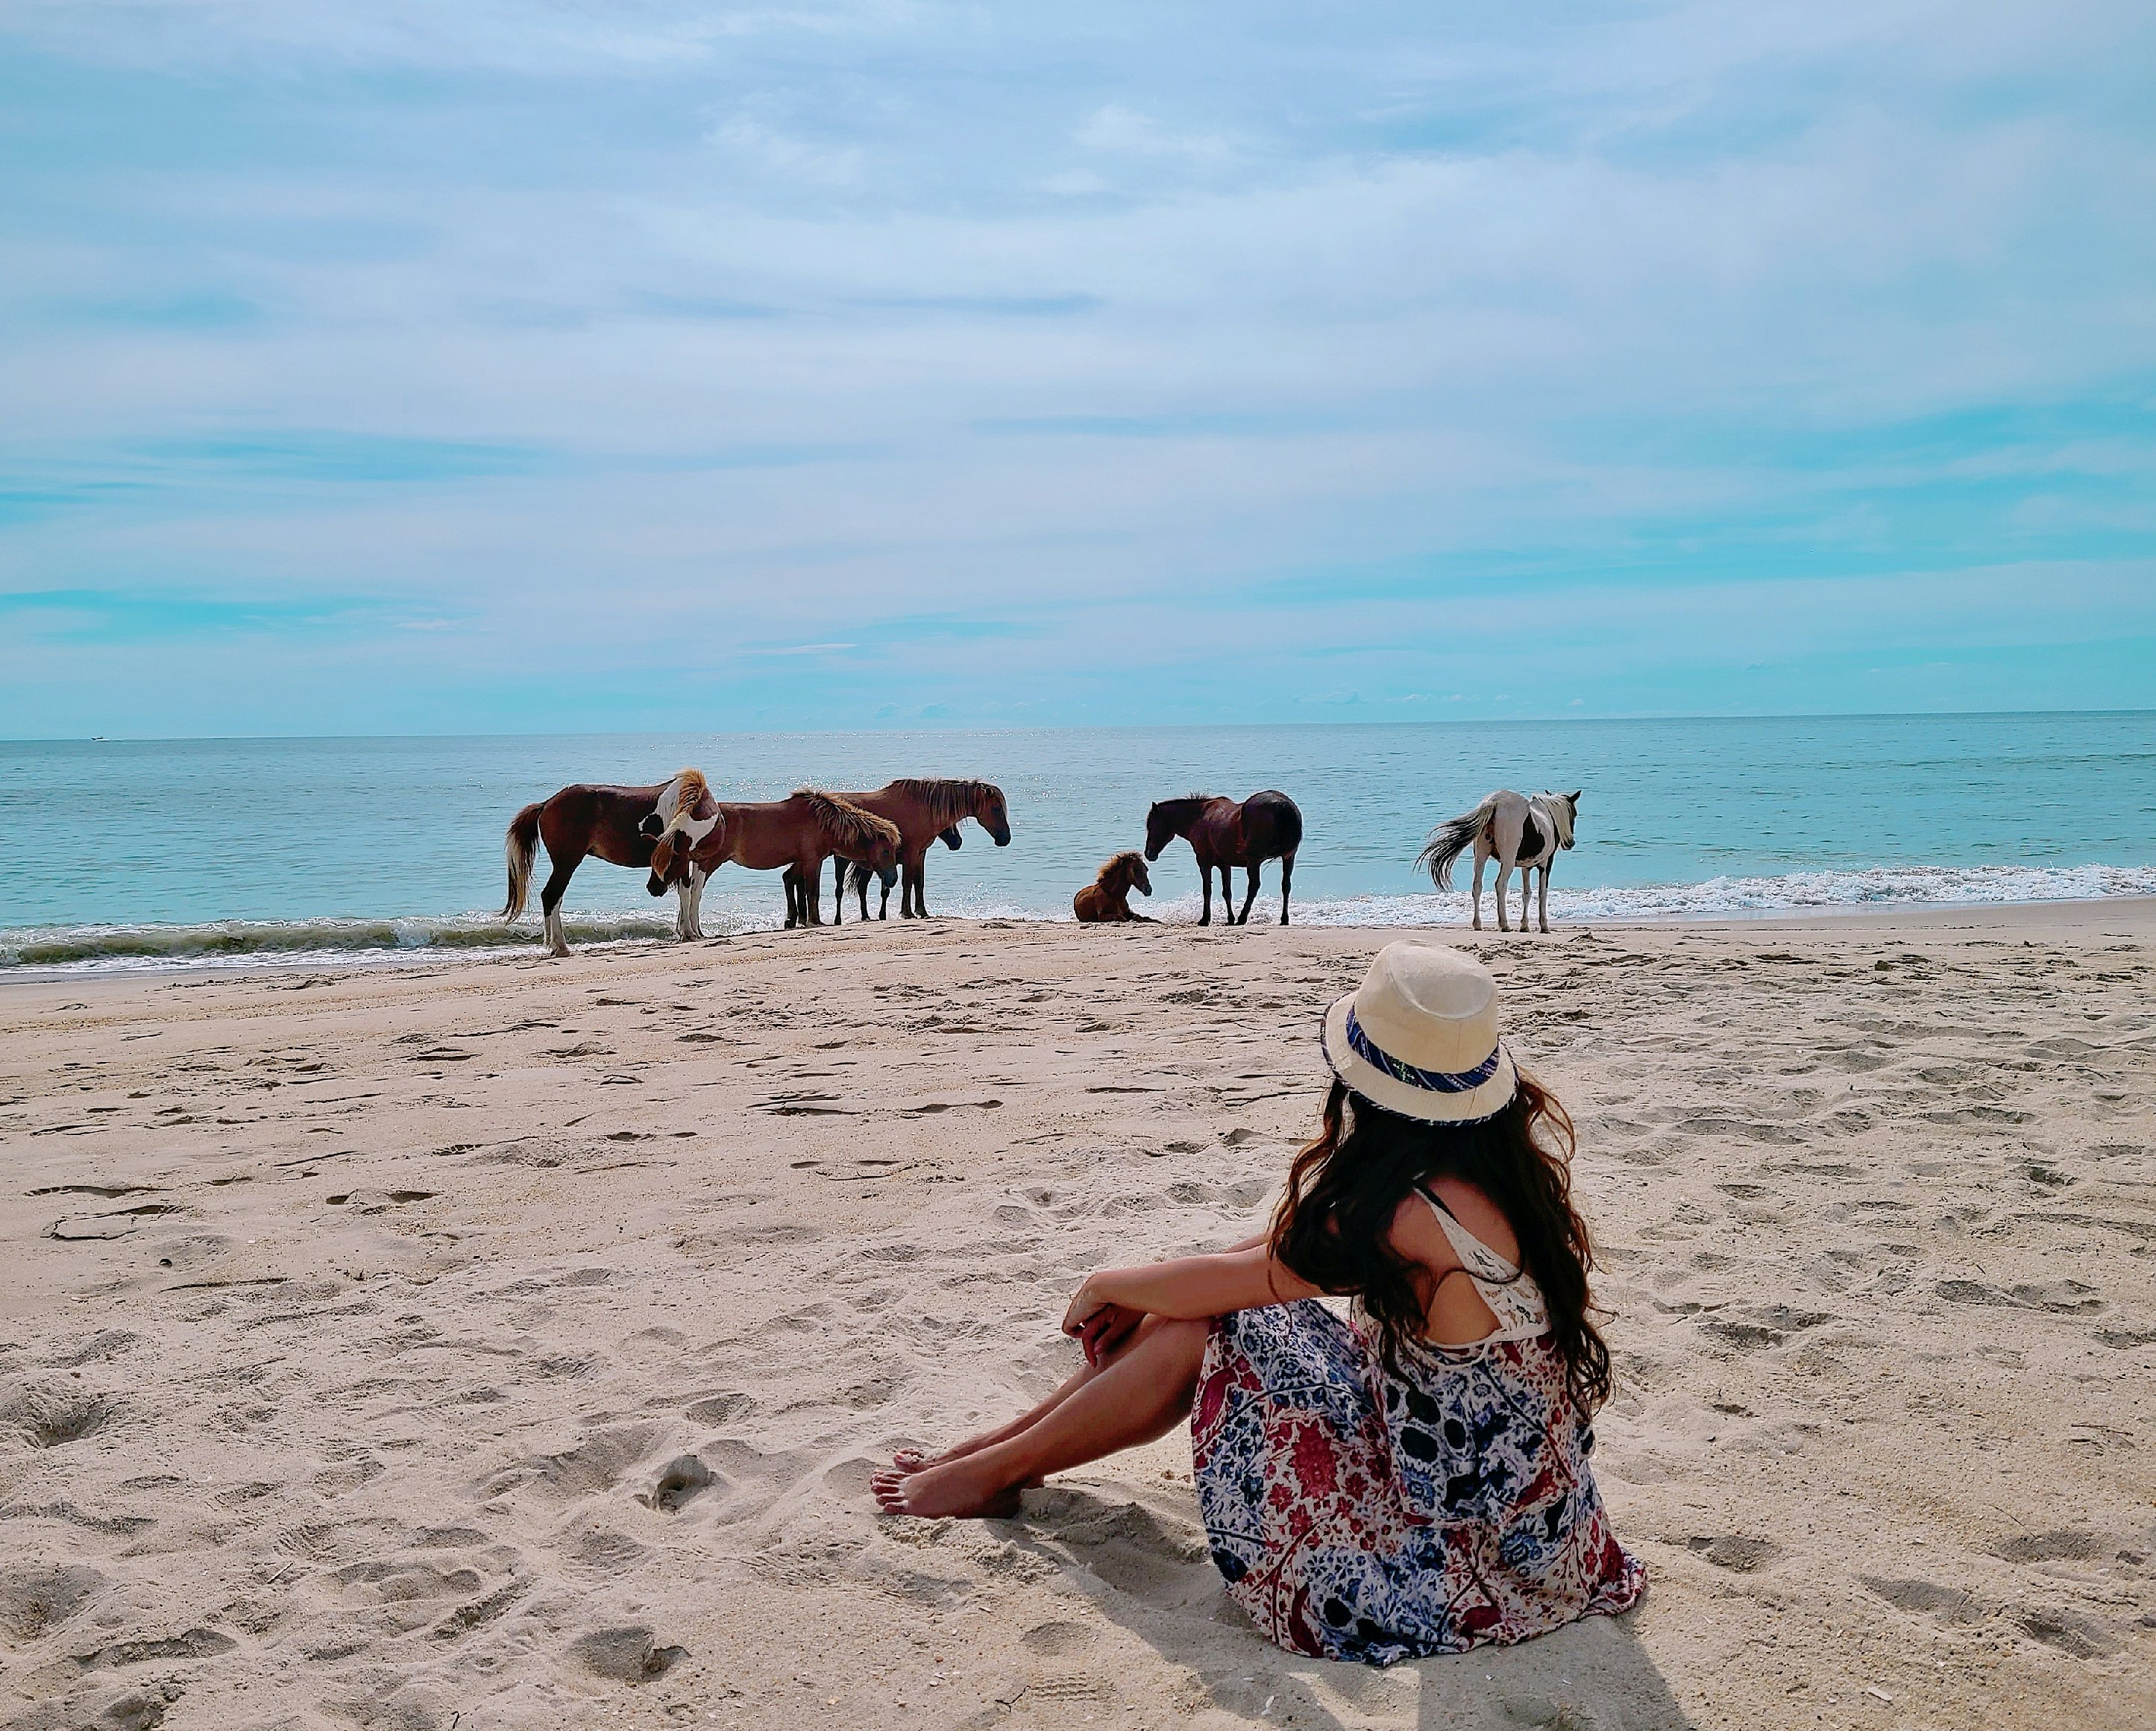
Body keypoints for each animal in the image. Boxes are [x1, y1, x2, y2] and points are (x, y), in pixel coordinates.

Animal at [1138, 793, 1302, 926]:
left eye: (1151, 826)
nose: (1149, 854)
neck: (1199, 816)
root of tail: (1281, 804)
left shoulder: (1204, 863)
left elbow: (1207, 890)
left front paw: (1205, 919)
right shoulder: (1225, 864)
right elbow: (1227, 892)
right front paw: (1230, 918)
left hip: (1254, 861)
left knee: (1254, 887)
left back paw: (1243, 918)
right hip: (1288, 858)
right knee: (1286, 886)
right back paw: (1284, 919)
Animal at [1414, 788, 1586, 935]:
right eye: (1574, 814)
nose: (1570, 843)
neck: (1547, 817)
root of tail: (1494, 802)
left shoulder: (1526, 867)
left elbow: (1527, 894)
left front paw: (1525, 926)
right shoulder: (1545, 864)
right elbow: (1542, 893)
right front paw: (1544, 927)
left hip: (1481, 857)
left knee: (1477, 886)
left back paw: (1478, 924)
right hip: (1508, 861)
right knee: (1500, 885)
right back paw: (1505, 924)